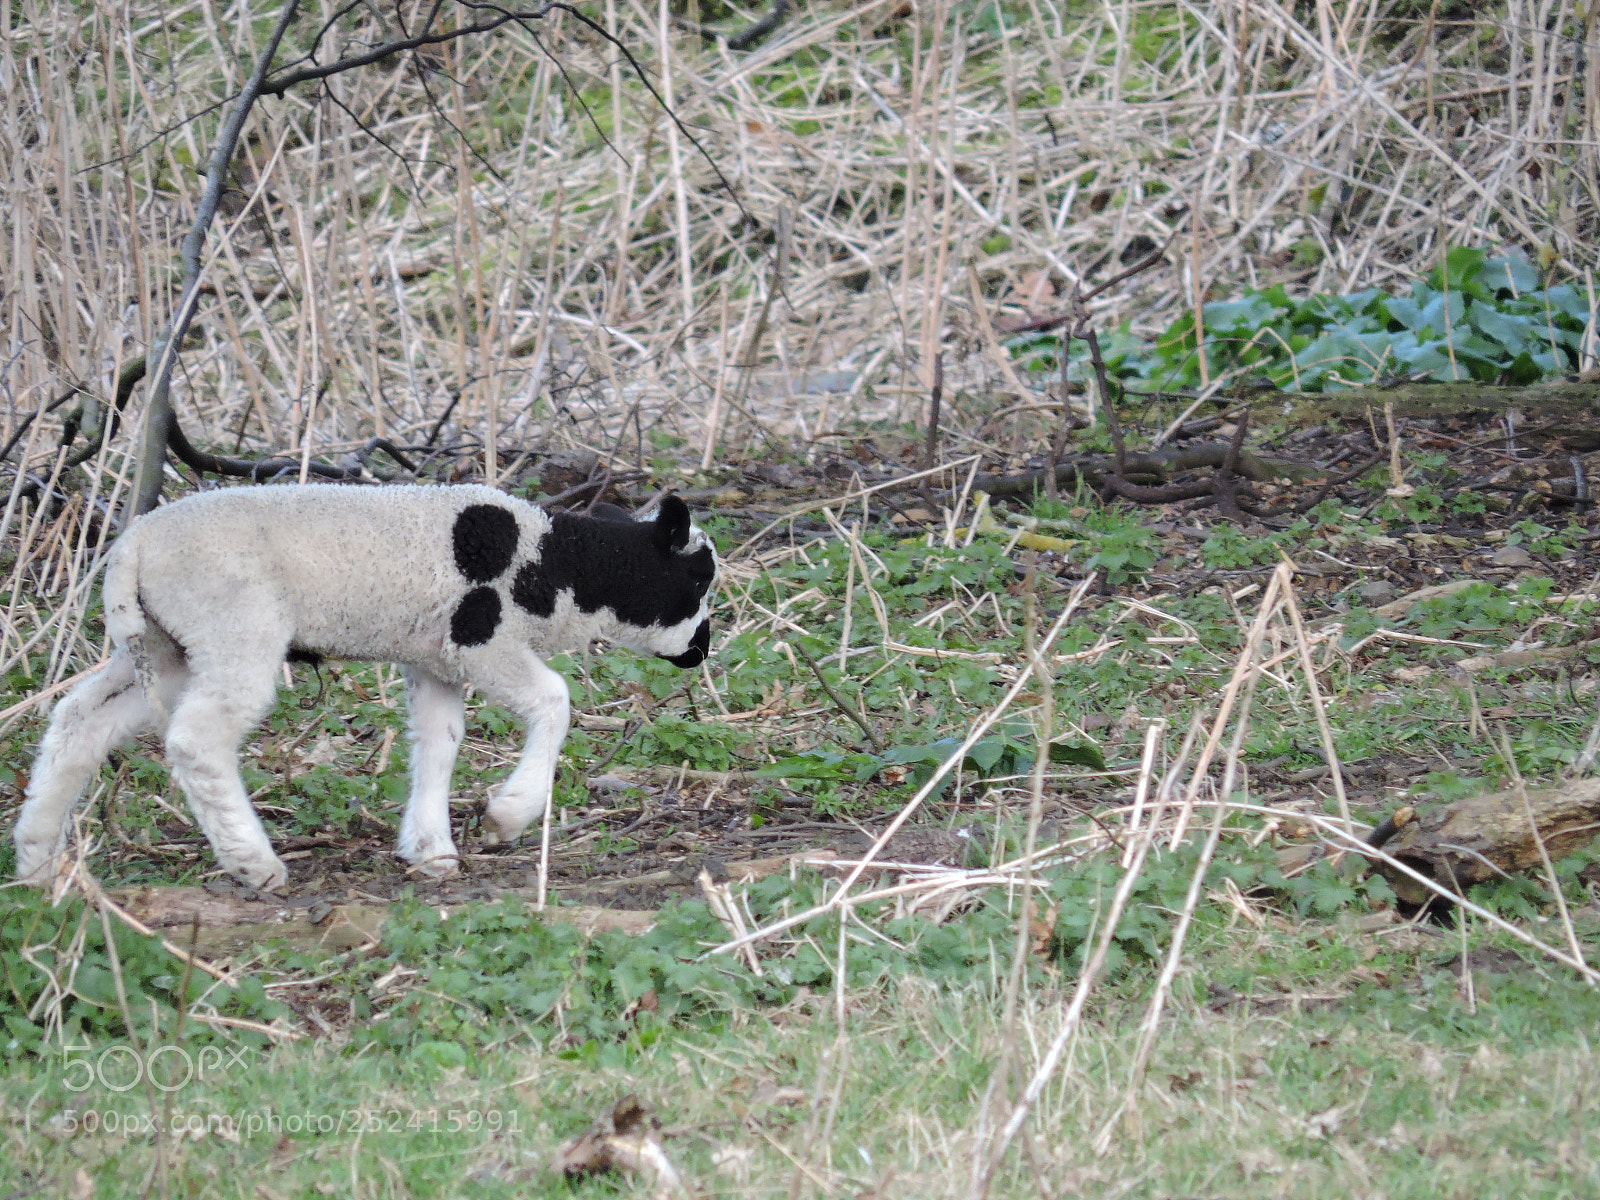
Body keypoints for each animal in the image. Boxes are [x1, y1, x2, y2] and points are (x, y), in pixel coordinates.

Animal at [13, 484, 718, 891]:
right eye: (699, 580)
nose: (702, 650)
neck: (560, 564)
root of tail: (131, 547)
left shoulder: (435, 658)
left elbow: (439, 742)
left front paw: (432, 850)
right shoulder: (480, 640)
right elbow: (553, 701)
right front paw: (507, 816)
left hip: (163, 646)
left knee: (79, 721)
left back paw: (38, 860)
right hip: (234, 628)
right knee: (196, 739)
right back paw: (253, 863)